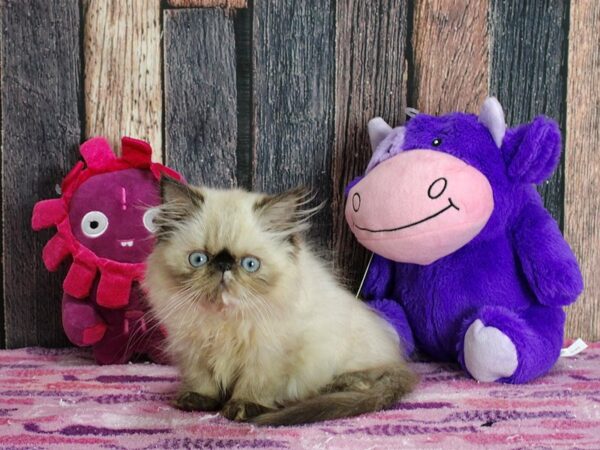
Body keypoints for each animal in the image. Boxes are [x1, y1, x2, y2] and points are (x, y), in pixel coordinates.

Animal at [144, 177, 418, 426]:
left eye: (250, 264)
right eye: (199, 259)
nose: (223, 265)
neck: (224, 321)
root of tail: (398, 362)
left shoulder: (268, 352)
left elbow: (254, 384)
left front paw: (242, 407)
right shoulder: (193, 347)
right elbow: (202, 379)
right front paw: (197, 399)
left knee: (359, 383)